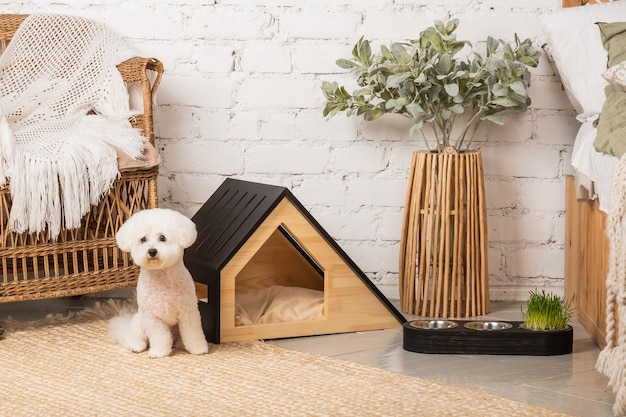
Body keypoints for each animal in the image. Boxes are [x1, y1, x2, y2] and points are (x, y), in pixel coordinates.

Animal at [108, 206, 208, 356]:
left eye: (162, 237)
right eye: (143, 239)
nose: (152, 251)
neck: (162, 275)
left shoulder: (188, 312)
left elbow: (193, 332)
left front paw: (198, 348)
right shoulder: (153, 318)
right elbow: (160, 336)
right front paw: (159, 352)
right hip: (139, 322)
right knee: (136, 337)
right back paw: (135, 345)